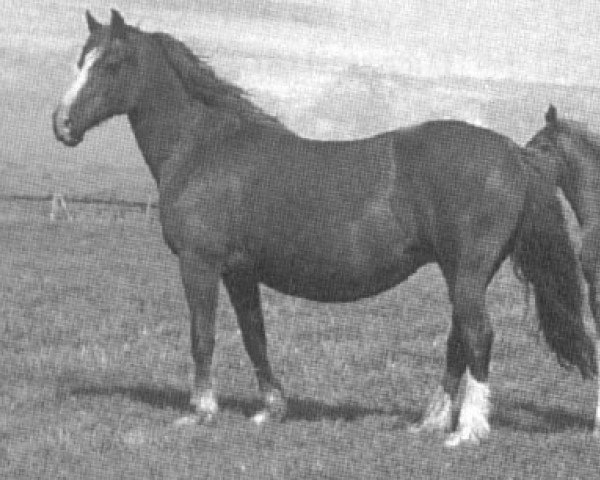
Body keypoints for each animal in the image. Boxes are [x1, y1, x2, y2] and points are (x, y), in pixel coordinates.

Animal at [52, 10, 596, 446]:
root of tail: (514, 154)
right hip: (463, 274)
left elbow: (202, 334)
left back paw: (466, 432)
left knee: (478, 336)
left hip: (467, 271)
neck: (204, 147)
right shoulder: (239, 271)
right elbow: (254, 335)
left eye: (110, 64)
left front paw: (200, 412)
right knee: (458, 339)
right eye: (81, 59)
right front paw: (271, 409)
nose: (61, 124)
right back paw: (432, 421)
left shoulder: (199, 264)